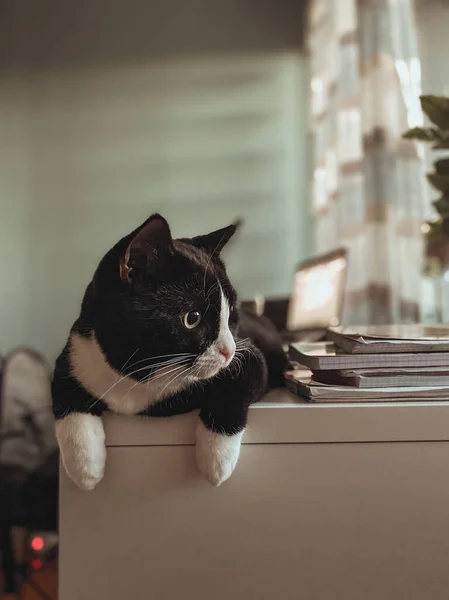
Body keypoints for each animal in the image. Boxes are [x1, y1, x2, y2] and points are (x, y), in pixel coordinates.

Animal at [53, 216, 270, 492]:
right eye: (192, 318)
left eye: (231, 313)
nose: (229, 351)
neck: (140, 374)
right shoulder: (76, 354)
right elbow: (66, 398)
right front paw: (85, 467)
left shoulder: (251, 355)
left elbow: (238, 383)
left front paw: (217, 459)